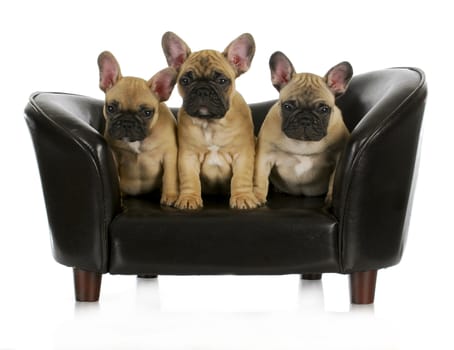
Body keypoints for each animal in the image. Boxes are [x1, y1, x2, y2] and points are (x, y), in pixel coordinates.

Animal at [98, 50, 179, 206]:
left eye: (147, 113)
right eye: (110, 108)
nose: (127, 122)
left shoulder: (169, 154)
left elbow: (170, 176)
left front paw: (170, 196)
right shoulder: (115, 155)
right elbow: (116, 178)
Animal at [161, 31, 260, 209]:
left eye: (222, 81)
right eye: (185, 80)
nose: (202, 90)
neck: (211, 123)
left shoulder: (242, 154)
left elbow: (241, 178)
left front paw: (242, 197)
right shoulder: (188, 156)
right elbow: (190, 179)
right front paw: (189, 198)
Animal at [254, 51, 352, 205]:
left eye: (324, 109)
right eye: (288, 106)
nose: (305, 120)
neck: (303, 143)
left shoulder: (338, 157)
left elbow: (333, 181)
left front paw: (330, 200)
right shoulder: (264, 155)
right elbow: (260, 178)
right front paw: (256, 197)